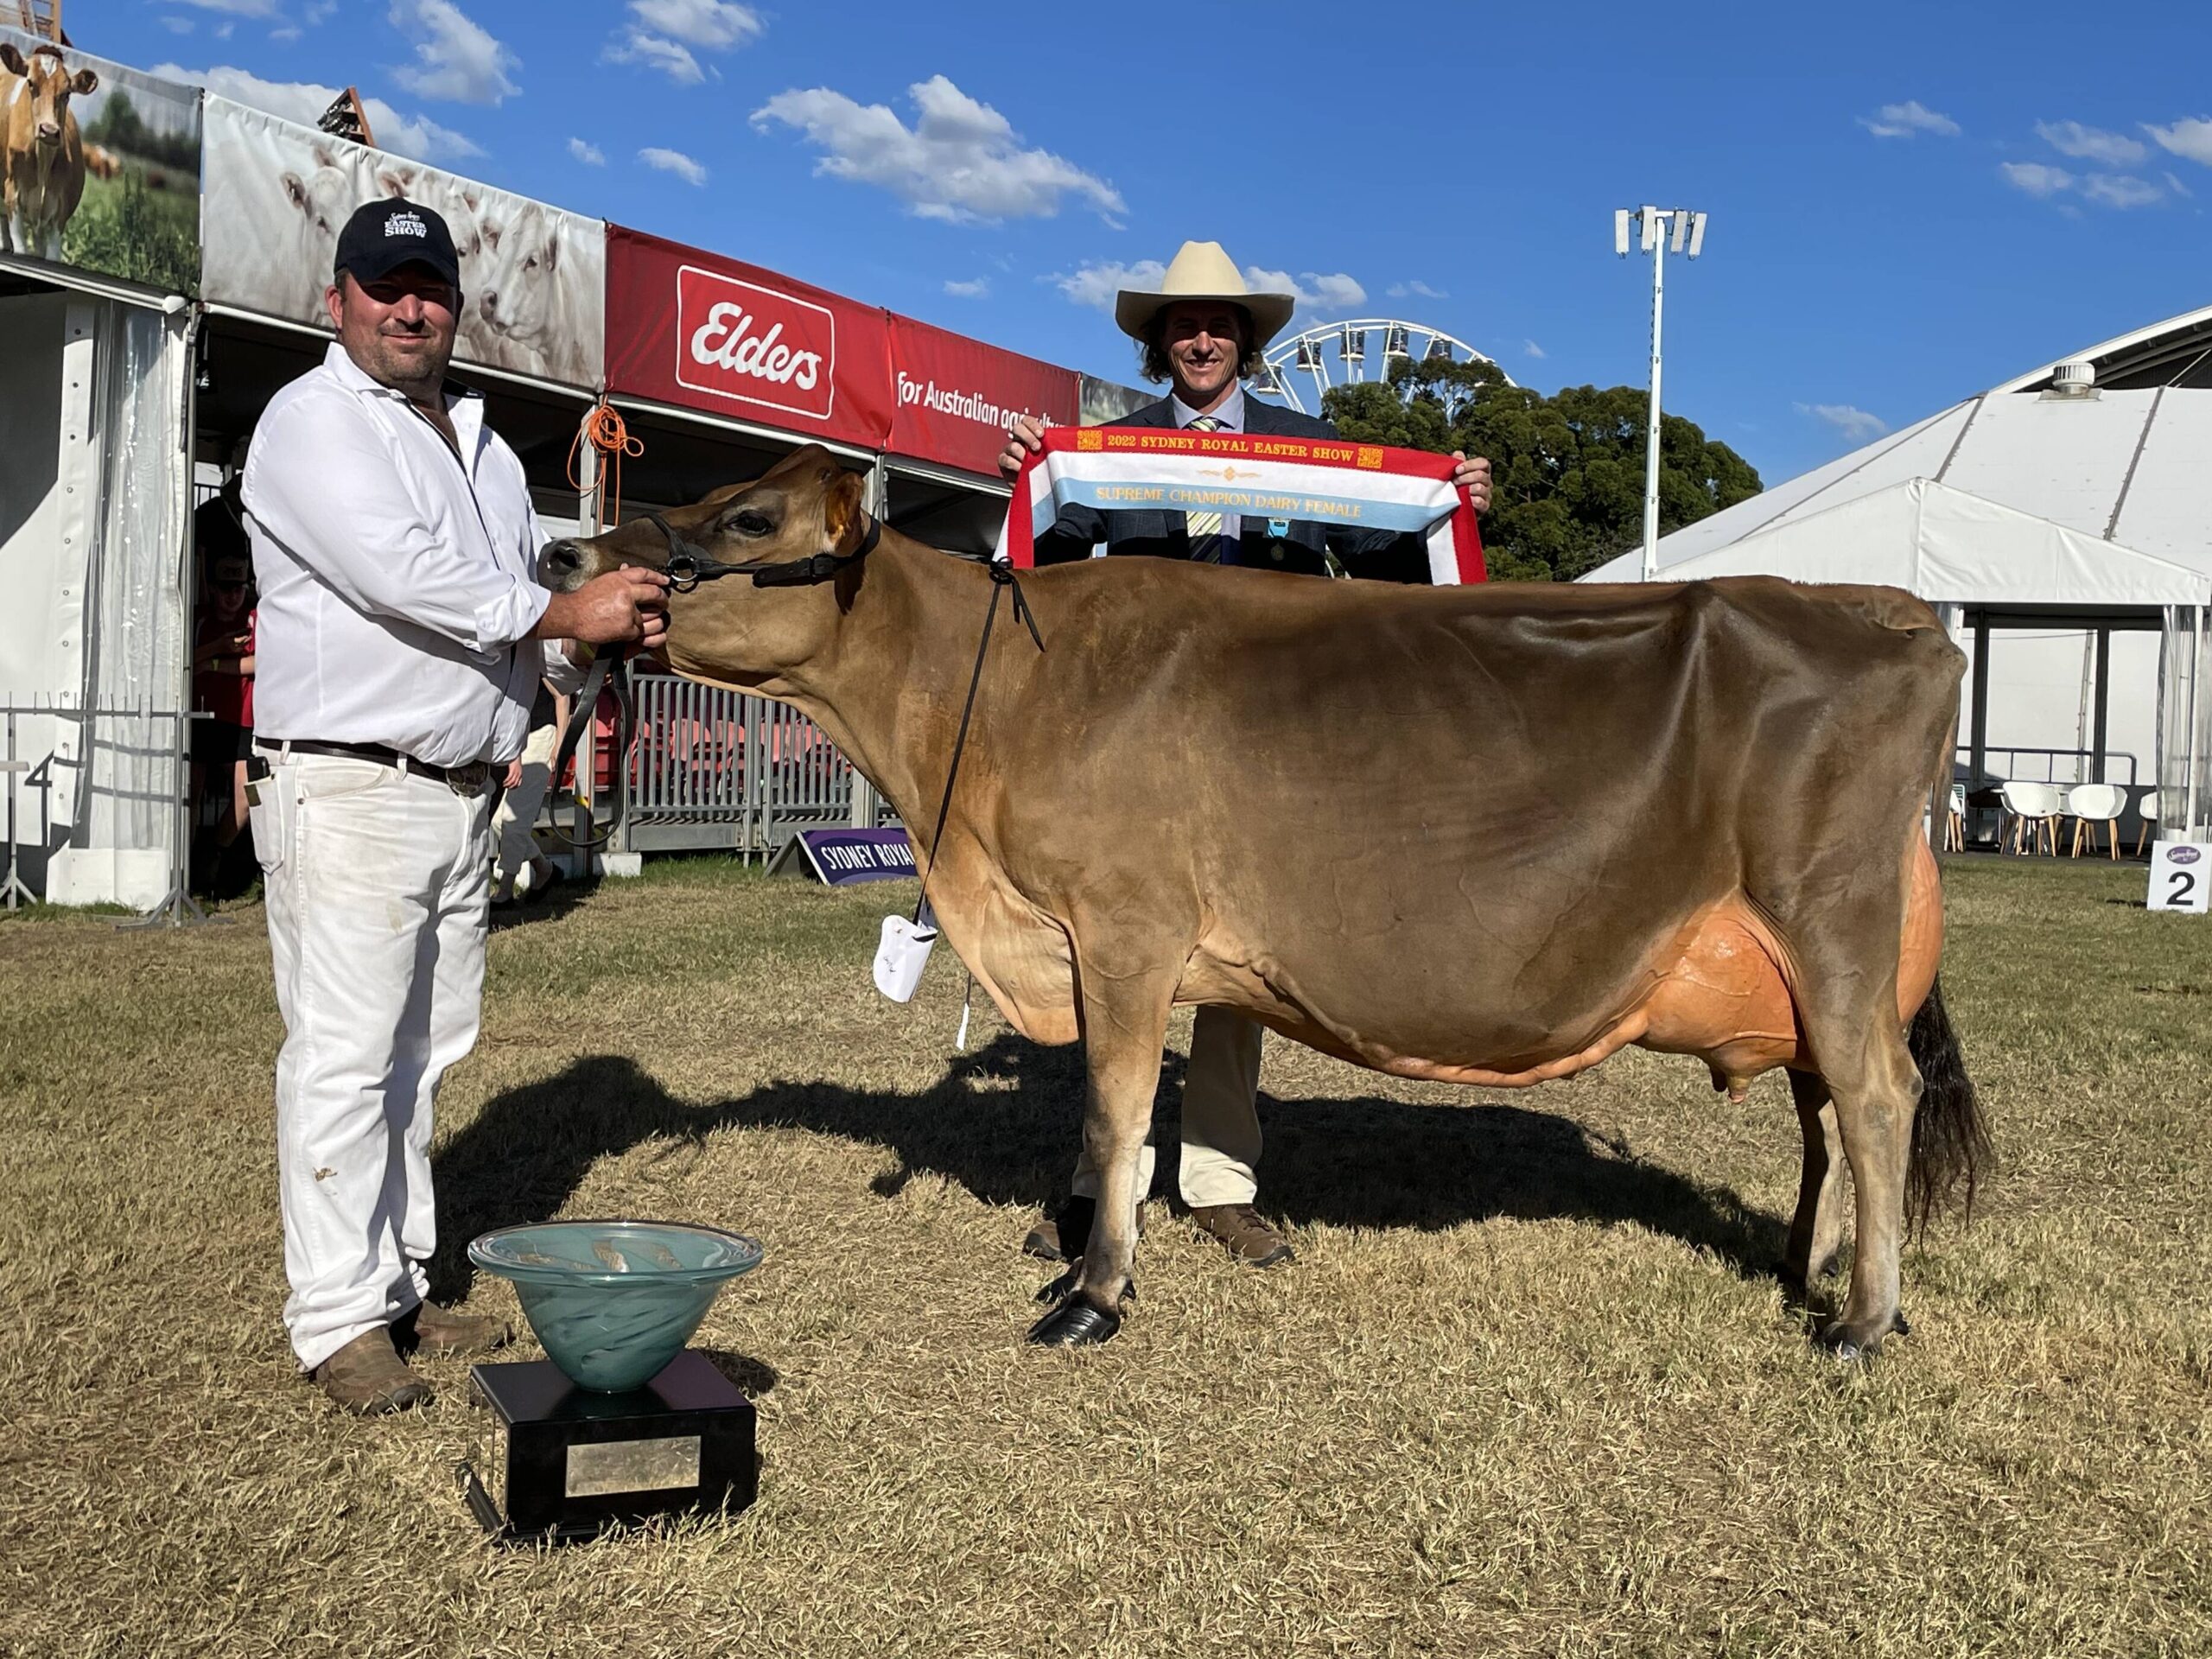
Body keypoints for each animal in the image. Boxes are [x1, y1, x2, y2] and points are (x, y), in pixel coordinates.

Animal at [1, 42, 97, 266]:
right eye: (30, 83)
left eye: (67, 93)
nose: (50, 131)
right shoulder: (12, 196)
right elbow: (20, 249)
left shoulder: (59, 215)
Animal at [548, 448, 1991, 1353]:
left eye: (751, 522)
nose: (577, 553)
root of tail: (1898, 611)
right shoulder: (1093, 942)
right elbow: (1104, 1115)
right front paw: (1075, 1242)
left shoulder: (1125, 927)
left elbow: (1118, 1105)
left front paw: (1094, 1293)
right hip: (1807, 963)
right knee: (1825, 1115)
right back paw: (1808, 1273)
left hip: (1832, 917)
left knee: (1876, 1100)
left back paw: (1863, 1323)